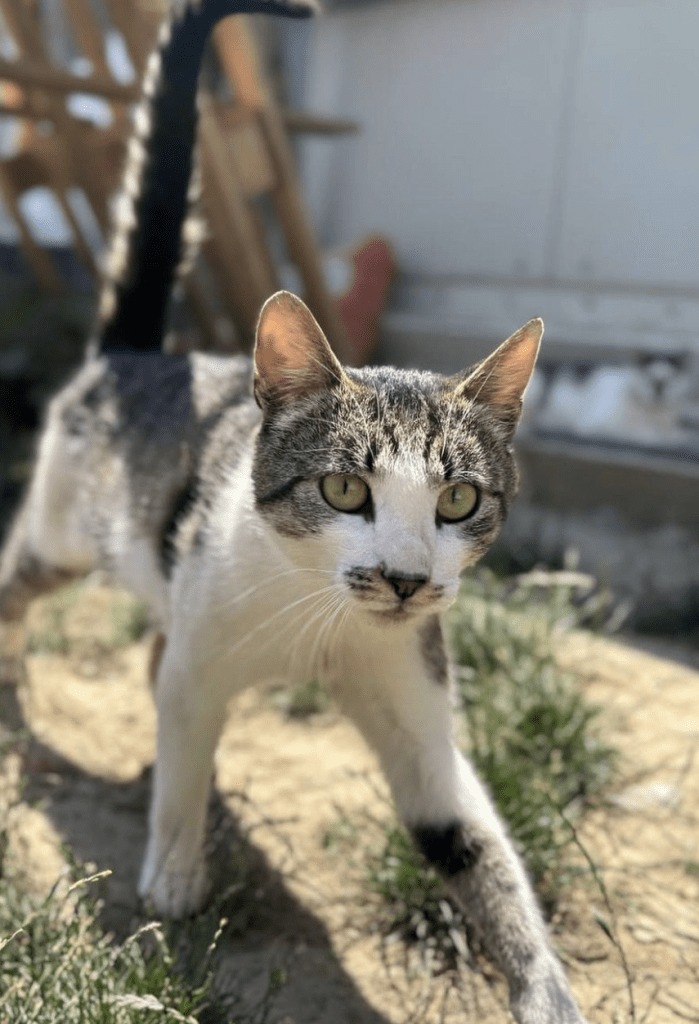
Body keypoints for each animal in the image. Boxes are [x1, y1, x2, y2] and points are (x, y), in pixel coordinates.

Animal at [0, 4, 589, 1019]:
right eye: (344, 489)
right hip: (62, 539)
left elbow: (473, 845)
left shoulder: (416, 708)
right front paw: (174, 873)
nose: (403, 578)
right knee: (20, 585)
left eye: (459, 499)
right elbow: (183, 754)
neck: (320, 620)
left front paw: (546, 993)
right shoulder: (203, 664)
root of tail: (132, 357)